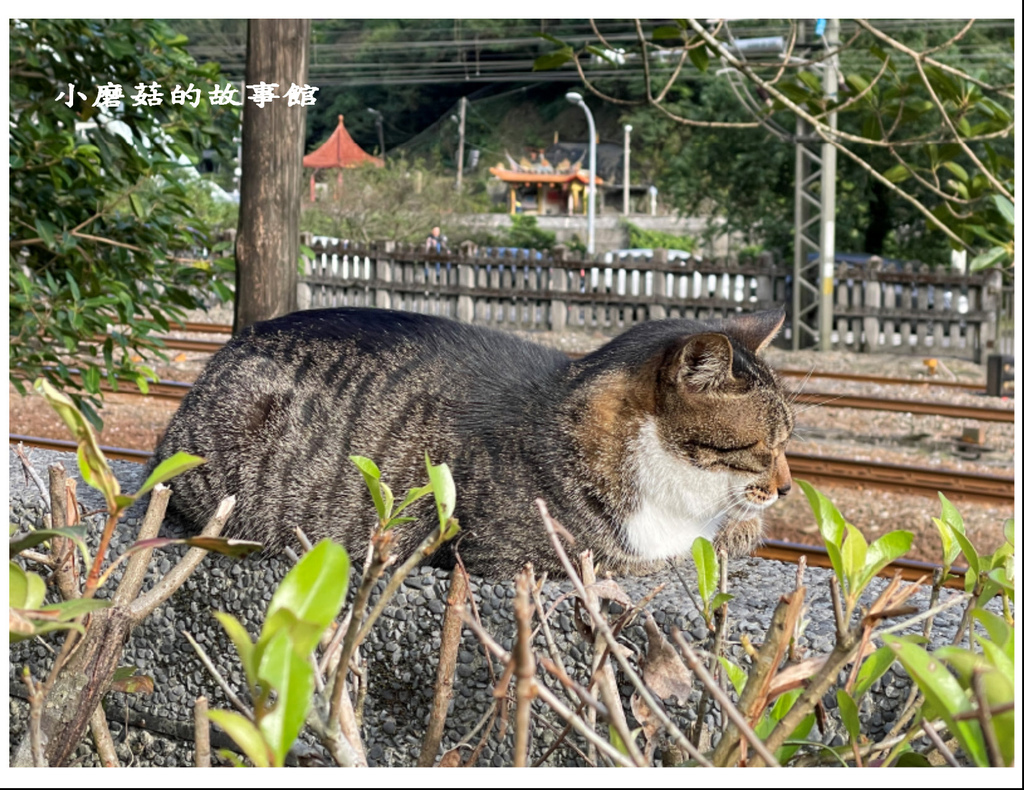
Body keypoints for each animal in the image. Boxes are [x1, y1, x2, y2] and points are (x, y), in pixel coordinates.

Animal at [149, 305, 790, 577]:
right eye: (765, 445)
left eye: (789, 443)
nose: (786, 488)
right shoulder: (512, 554)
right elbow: (662, 554)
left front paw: (739, 528)